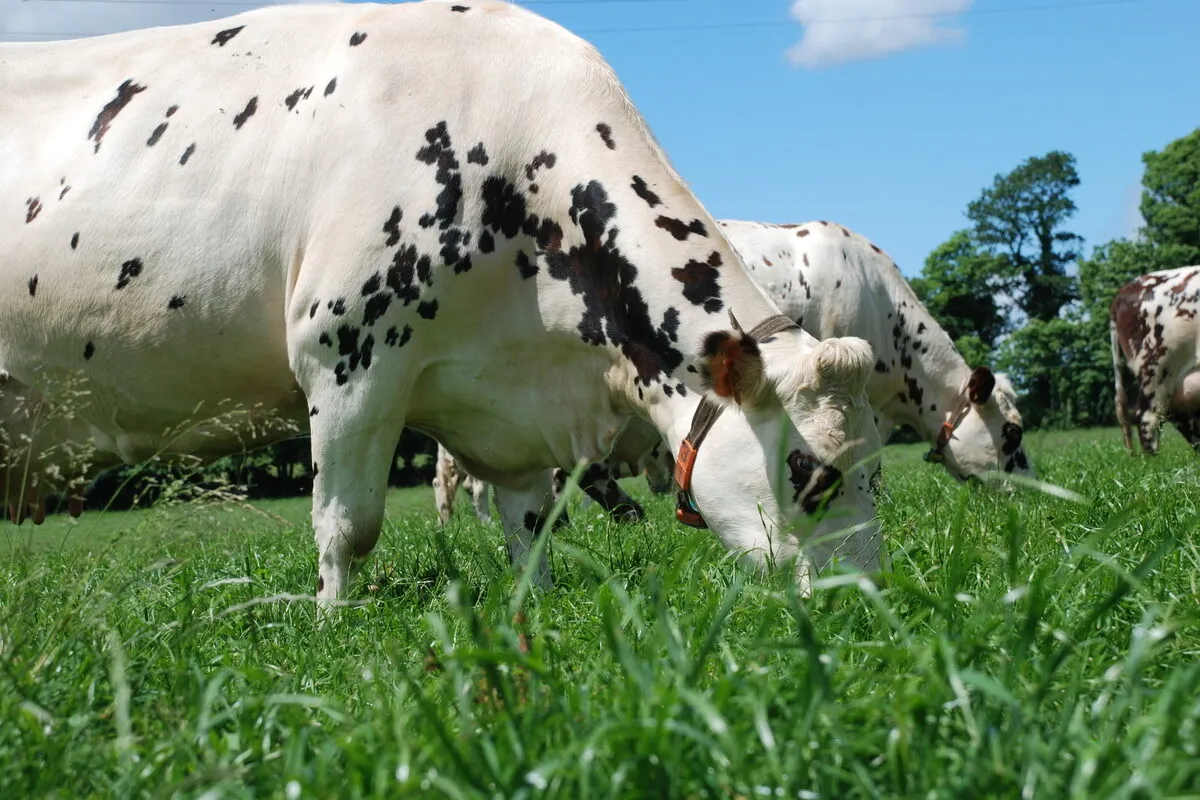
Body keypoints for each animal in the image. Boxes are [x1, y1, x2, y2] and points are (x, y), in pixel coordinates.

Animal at [0, 1, 886, 604]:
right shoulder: (345, 360)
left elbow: (530, 524)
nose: (864, 601)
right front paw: (332, 618)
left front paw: (535, 604)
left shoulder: (510, 404)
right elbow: (347, 524)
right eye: (809, 473)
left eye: (878, 470)